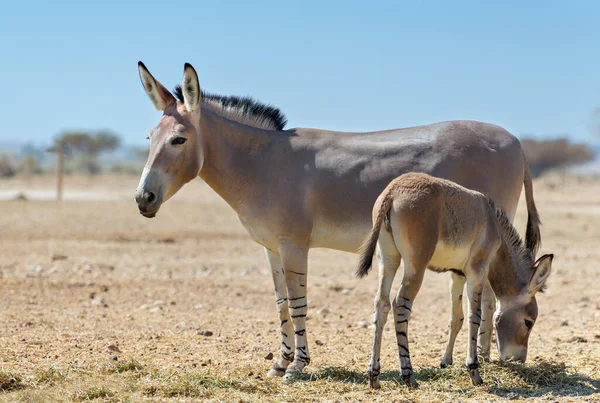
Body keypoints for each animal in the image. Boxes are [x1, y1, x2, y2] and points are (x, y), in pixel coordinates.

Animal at [356, 173, 552, 388]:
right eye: (528, 322)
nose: (519, 360)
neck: (493, 224)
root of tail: (393, 192)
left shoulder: (457, 274)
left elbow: (456, 318)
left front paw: (446, 361)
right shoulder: (477, 271)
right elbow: (475, 316)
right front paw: (473, 370)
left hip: (388, 259)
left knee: (381, 303)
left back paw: (374, 376)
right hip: (415, 266)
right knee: (400, 305)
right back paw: (407, 375)